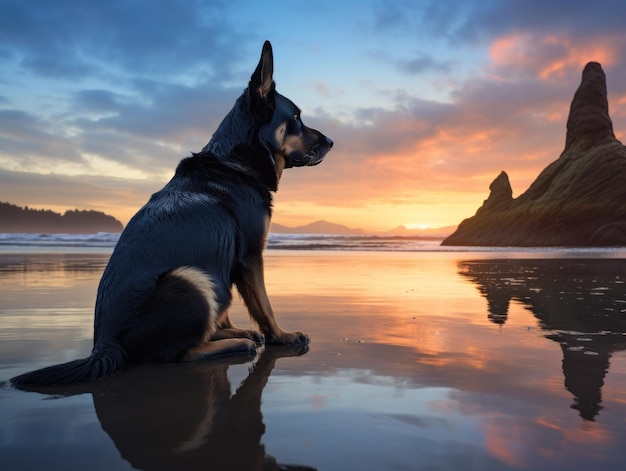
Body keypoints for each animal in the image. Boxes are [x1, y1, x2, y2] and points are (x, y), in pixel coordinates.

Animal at [11, 40, 332, 388]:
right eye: (296, 117)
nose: (331, 142)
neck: (234, 161)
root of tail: (103, 344)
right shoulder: (249, 256)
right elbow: (264, 305)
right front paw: (281, 336)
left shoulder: (223, 262)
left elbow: (226, 311)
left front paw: (234, 329)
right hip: (188, 278)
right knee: (178, 355)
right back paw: (236, 344)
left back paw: (231, 336)